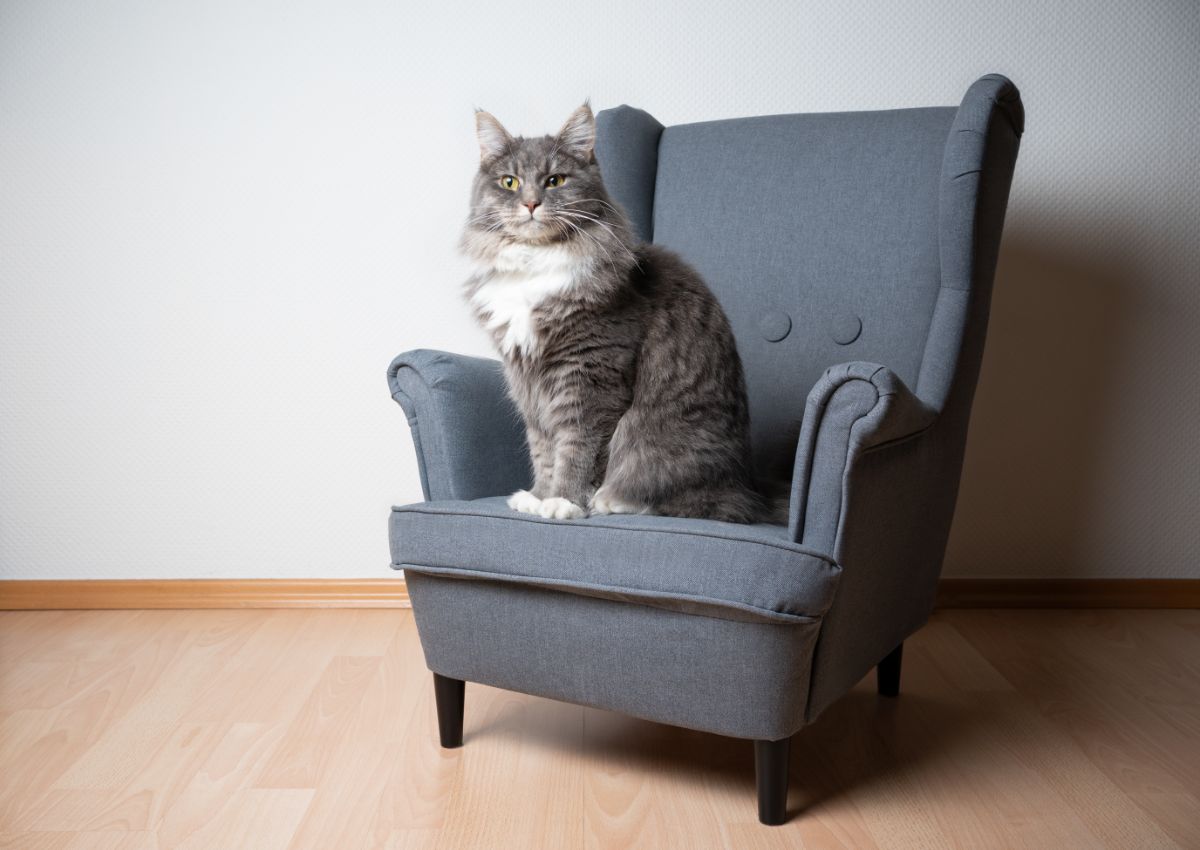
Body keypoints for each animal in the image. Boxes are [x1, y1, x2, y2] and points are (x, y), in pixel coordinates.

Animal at [458, 101, 768, 523]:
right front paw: (539, 496)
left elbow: (577, 448)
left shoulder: (590, 376)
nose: (531, 204)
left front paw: (565, 501)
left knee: (686, 500)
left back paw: (612, 500)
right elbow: (543, 447)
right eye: (509, 182)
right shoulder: (527, 379)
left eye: (555, 180)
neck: (536, 264)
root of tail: (749, 491)